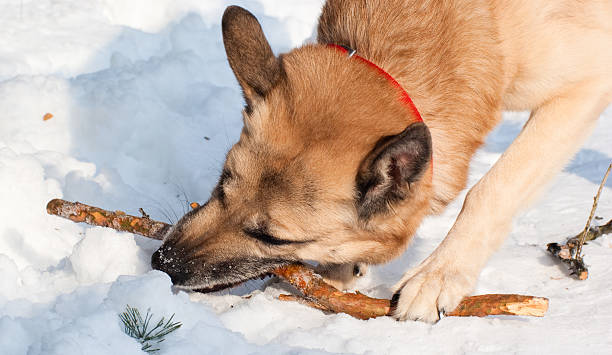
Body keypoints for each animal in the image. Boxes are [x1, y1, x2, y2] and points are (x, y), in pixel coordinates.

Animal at [152, 0, 612, 322]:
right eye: (221, 185)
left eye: (274, 238)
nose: (161, 264)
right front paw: (337, 273)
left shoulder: (584, 88)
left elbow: (490, 190)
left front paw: (439, 275)